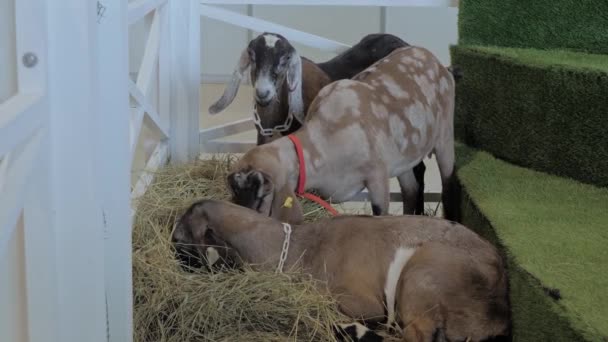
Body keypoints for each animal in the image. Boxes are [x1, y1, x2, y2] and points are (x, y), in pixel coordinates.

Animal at [227, 44, 456, 222]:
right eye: (234, 192)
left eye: (262, 193)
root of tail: (433, 59)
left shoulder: (377, 176)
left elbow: (380, 214)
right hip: (403, 159)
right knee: (411, 190)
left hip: (445, 136)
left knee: (447, 182)